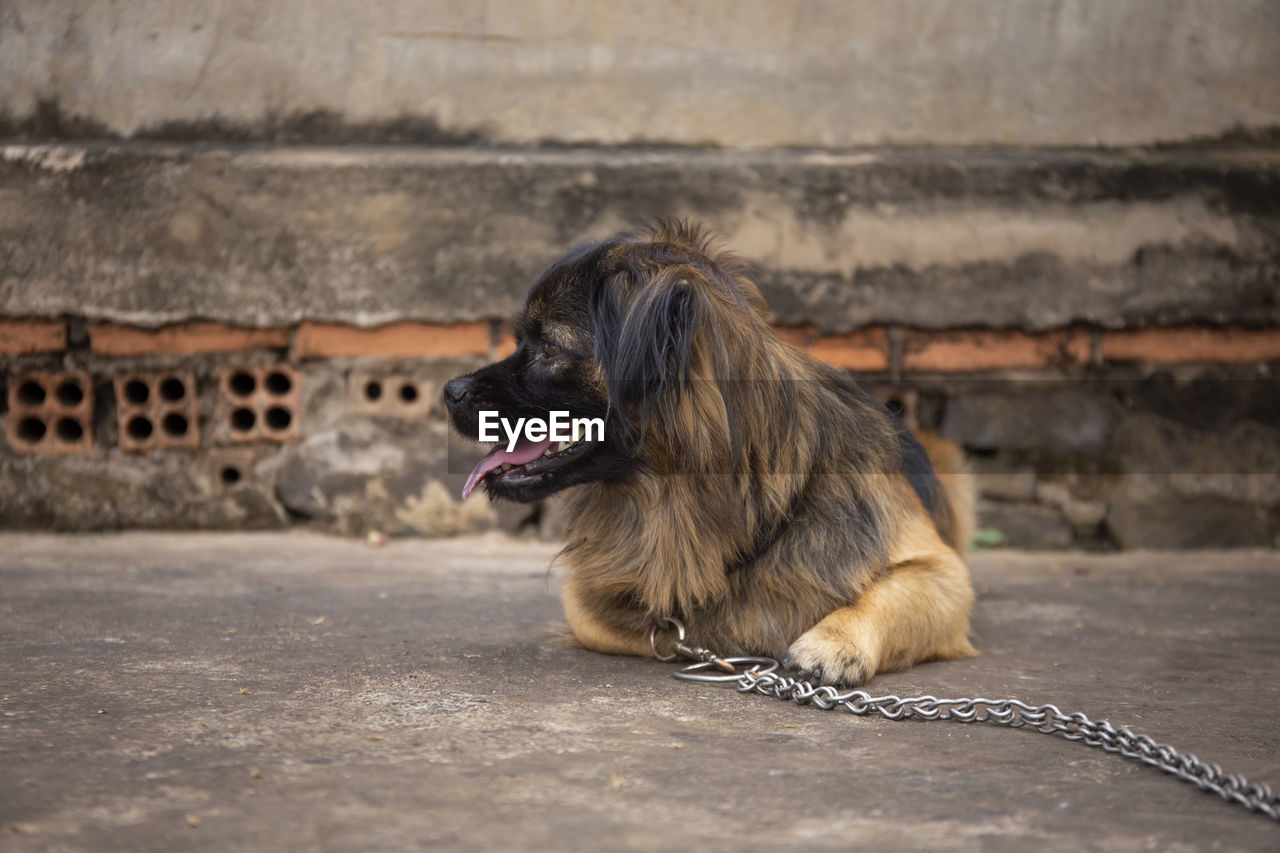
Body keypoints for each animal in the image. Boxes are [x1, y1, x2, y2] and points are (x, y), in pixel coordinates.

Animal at [445, 220, 972, 686]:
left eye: (550, 350)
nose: (450, 391)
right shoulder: (590, 599)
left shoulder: (942, 572)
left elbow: (894, 590)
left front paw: (832, 643)